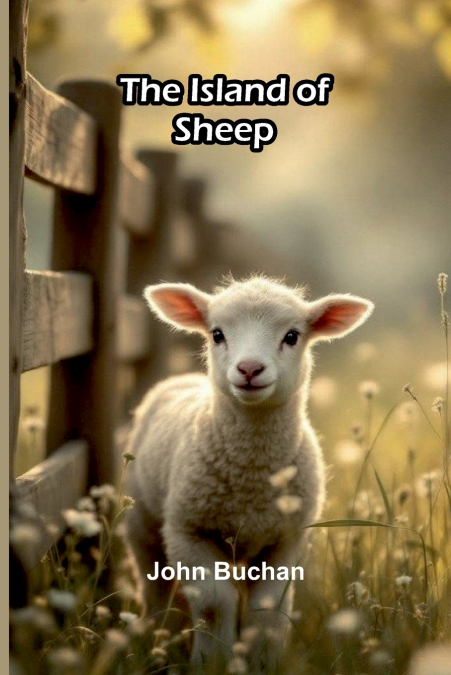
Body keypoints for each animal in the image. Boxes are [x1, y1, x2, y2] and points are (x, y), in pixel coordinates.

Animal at [125, 276, 373, 671]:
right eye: (216, 334)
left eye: (292, 336)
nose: (250, 369)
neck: (251, 479)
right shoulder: (188, 530)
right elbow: (215, 603)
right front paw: (211, 661)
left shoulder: (287, 538)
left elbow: (268, 608)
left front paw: (263, 661)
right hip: (143, 523)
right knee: (154, 588)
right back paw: (156, 636)